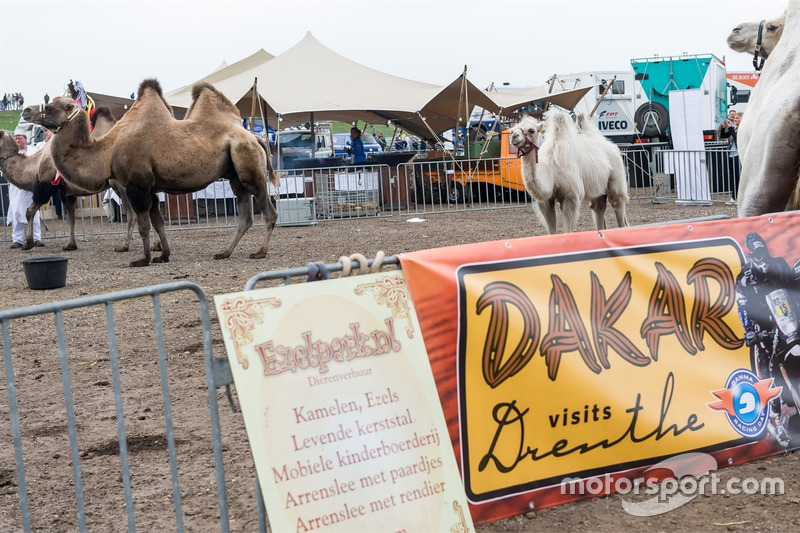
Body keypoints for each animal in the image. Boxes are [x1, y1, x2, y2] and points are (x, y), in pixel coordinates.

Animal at [0, 107, 131, 251]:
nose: (25, 110)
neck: (36, 164)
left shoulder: (46, 185)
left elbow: (29, 211)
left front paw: (28, 243)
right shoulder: (66, 192)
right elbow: (71, 217)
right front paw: (71, 245)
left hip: (118, 184)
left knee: (131, 211)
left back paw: (125, 245)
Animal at [23, 78, 280, 266]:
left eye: (51, 107)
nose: (25, 110)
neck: (108, 150)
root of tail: (255, 137)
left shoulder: (137, 185)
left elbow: (143, 225)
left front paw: (143, 259)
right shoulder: (152, 188)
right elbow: (158, 223)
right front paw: (163, 255)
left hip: (249, 168)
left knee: (269, 211)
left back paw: (260, 252)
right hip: (235, 175)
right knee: (245, 215)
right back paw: (225, 252)